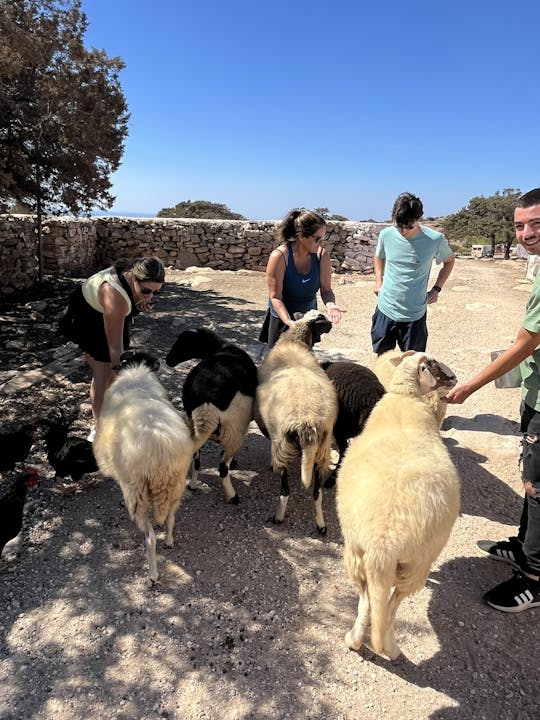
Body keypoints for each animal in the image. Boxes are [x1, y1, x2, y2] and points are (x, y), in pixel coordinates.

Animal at [94, 352, 195, 584]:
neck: (135, 371)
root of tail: (160, 447)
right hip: (176, 484)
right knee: (171, 517)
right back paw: (169, 540)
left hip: (137, 492)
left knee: (150, 538)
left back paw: (152, 575)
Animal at [254, 310, 338, 536]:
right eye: (323, 319)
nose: (332, 324)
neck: (294, 341)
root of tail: (306, 421)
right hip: (322, 450)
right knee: (317, 492)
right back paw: (321, 525)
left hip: (281, 443)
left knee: (285, 490)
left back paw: (278, 517)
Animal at [338, 352, 460, 660]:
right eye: (435, 365)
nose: (455, 379)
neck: (406, 396)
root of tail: (384, 543)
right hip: (418, 564)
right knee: (392, 604)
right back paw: (390, 648)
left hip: (356, 552)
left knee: (366, 598)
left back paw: (354, 640)